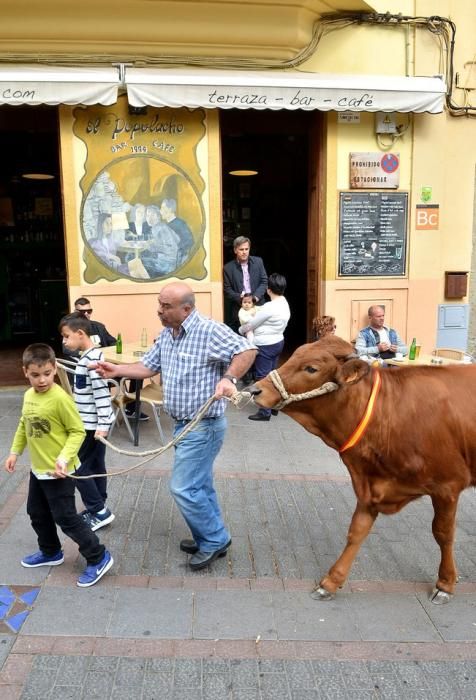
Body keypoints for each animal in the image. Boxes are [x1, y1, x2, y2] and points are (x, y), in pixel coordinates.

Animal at [249, 334, 476, 600]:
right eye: (295, 354)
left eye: (311, 368)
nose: (255, 389)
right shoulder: (370, 485)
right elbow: (356, 531)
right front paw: (331, 581)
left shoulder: (447, 486)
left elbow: (443, 533)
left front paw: (445, 583)